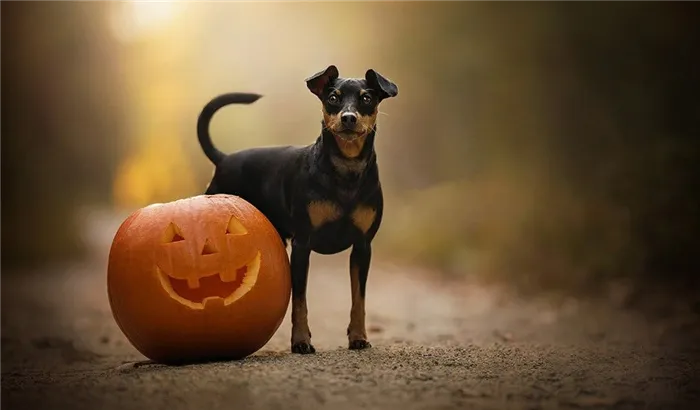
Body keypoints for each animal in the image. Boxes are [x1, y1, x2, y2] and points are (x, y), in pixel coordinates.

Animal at [197, 65, 400, 354]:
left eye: (367, 98)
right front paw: (301, 341)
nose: (348, 118)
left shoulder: (363, 246)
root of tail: (224, 159)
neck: (346, 169)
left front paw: (358, 337)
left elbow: (358, 298)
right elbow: (300, 300)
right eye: (333, 98)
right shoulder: (303, 244)